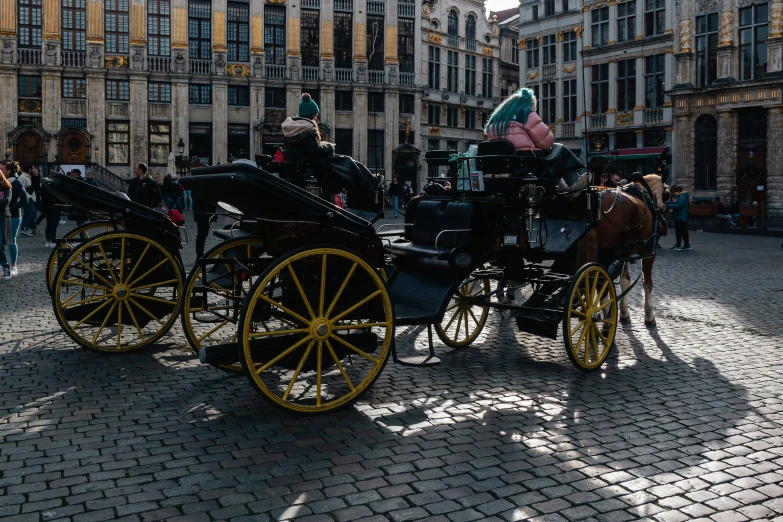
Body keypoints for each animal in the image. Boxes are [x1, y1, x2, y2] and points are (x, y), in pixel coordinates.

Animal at [576, 173, 668, 322]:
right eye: (667, 194)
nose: (664, 226)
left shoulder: (624, 252)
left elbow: (625, 280)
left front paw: (624, 312)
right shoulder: (648, 251)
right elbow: (647, 282)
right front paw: (649, 315)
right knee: (601, 282)